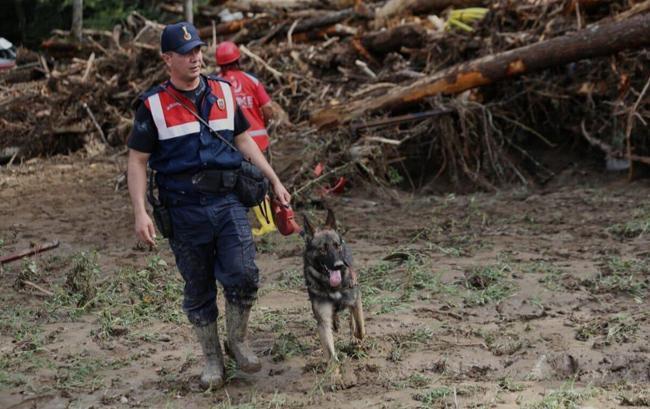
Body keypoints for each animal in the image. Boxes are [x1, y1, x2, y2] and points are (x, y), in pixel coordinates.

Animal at [302, 210, 364, 360]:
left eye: (337, 246)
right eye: (322, 249)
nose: (338, 265)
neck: (332, 287)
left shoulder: (356, 300)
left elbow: (360, 328)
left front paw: (356, 339)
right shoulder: (323, 320)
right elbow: (330, 352)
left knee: (352, 319)